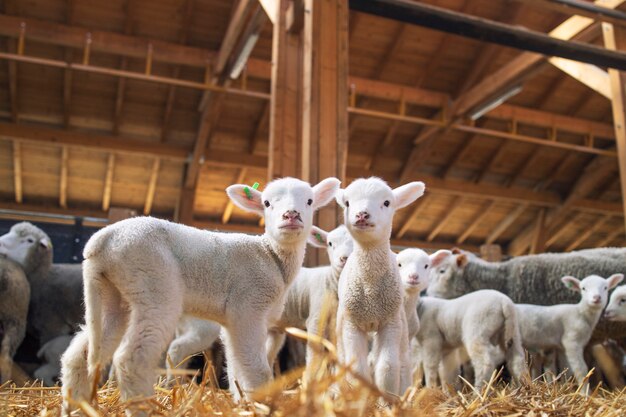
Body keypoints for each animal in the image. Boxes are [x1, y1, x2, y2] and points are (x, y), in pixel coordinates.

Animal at [59, 176, 338, 412]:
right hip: (153, 284)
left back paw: (75, 407)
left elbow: (236, 365)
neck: (271, 255)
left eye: (309, 201)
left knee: (79, 355)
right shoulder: (248, 306)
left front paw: (241, 400)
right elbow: (256, 368)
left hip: (112, 294)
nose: (291, 215)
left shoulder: (234, 320)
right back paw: (144, 407)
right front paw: (261, 403)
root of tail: (101, 241)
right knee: (131, 358)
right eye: (267, 203)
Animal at [264, 223, 354, 368]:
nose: (344, 258)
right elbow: (314, 357)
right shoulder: (315, 319)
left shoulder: (336, 324)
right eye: (330, 243)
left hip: (274, 328)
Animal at [334, 176, 422, 394]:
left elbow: (388, 367)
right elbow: (357, 368)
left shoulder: (389, 322)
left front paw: (387, 399)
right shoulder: (352, 324)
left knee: (403, 362)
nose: (362, 214)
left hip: (401, 323)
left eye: (387, 202)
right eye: (347, 203)